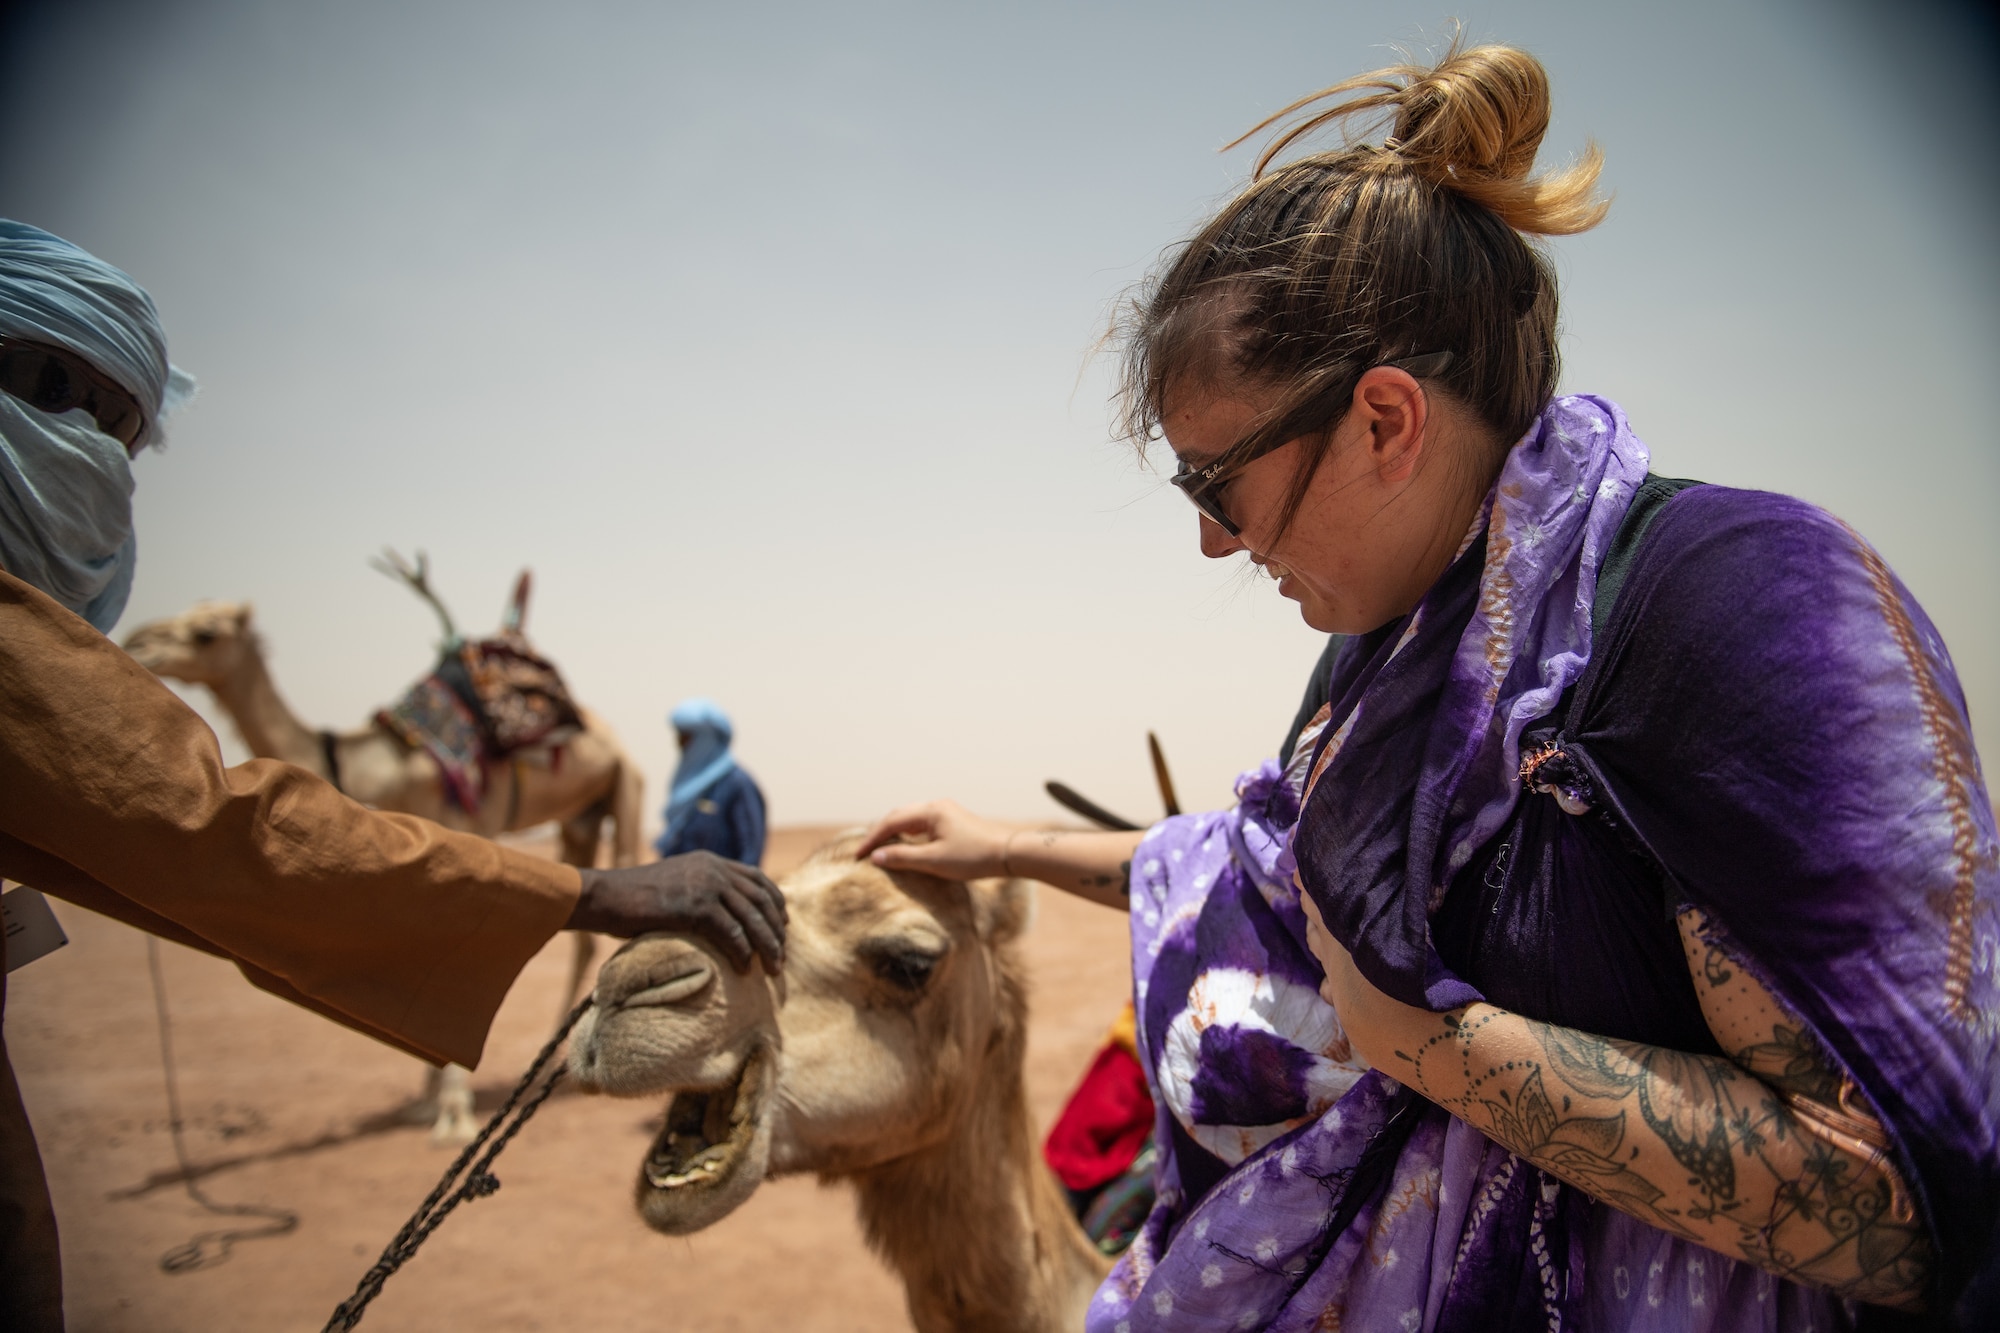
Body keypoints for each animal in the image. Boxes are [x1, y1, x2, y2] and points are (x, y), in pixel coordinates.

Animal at [123, 588, 640, 1136]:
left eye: (206, 634)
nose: (138, 642)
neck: (390, 764)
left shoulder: (469, 819)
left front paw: (454, 1116)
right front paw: (425, 1103)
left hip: (624, 783)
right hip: (579, 820)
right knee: (585, 934)